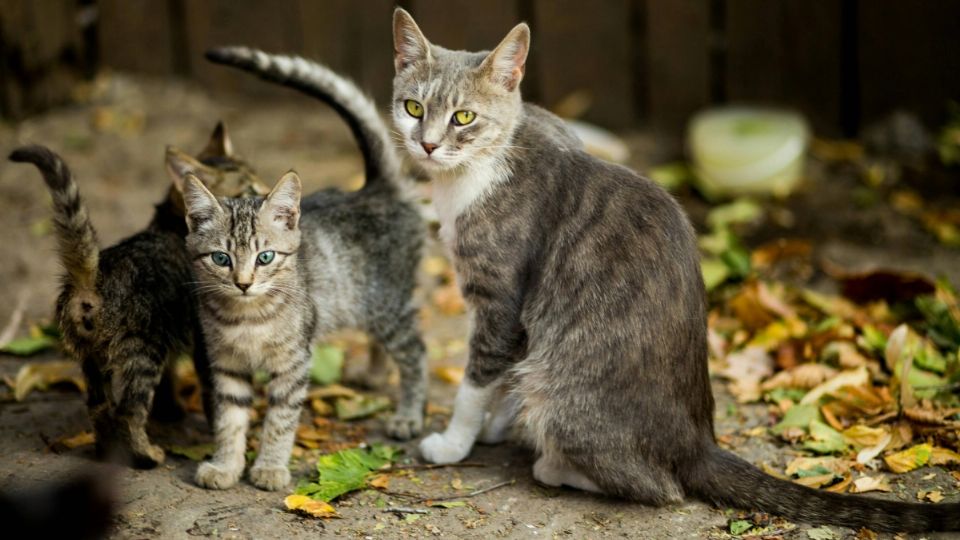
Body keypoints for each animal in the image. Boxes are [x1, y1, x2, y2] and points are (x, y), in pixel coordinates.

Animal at [9, 123, 268, 468]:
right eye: (250, 188)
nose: (269, 191)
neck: (171, 224)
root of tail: (92, 277)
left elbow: (171, 380)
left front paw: (171, 411)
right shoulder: (205, 342)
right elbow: (216, 398)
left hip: (93, 358)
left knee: (99, 406)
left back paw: (105, 453)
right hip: (143, 350)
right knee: (129, 410)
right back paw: (147, 455)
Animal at [183, 48, 428, 492]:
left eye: (265, 257)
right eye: (221, 259)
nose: (243, 284)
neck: (247, 317)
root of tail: (375, 189)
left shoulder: (294, 362)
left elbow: (280, 420)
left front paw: (269, 467)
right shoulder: (225, 365)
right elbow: (230, 420)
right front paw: (225, 465)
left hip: (388, 305)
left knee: (416, 352)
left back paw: (407, 415)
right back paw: (373, 375)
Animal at [390, 7, 960, 532]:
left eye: (464, 118)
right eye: (413, 107)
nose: (427, 144)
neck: (478, 169)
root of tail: (697, 442)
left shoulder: (501, 297)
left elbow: (478, 377)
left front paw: (455, 441)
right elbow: (506, 371)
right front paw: (493, 422)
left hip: (565, 396)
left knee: (659, 487)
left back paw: (555, 465)